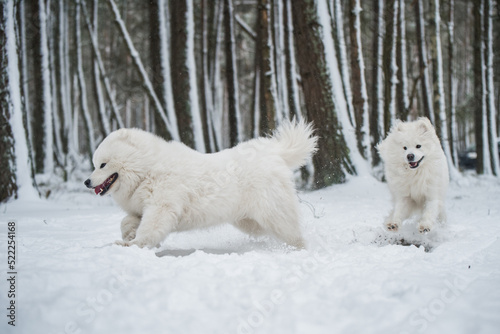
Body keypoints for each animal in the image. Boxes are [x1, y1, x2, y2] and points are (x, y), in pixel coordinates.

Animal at [82, 121, 316, 249]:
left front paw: (132, 244)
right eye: (94, 164)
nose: (87, 182)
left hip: (273, 213)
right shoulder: (141, 206)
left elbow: (150, 227)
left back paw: (300, 249)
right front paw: (128, 235)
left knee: (293, 233)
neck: (147, 169)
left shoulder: (162, 206)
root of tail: (275, 152)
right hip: (249, 221)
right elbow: (127, 220)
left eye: (102, 164)